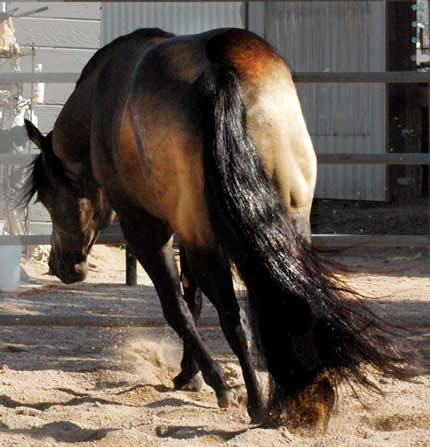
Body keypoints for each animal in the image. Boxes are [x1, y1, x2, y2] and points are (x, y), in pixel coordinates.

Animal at [20, 27, 414, 430]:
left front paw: (214, 382)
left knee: (233, 317)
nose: (60, 266)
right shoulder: (190, 232)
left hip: (206, 243)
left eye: (48, 197)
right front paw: (189, 375)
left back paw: (257, 403)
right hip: (287, 227)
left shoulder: (149, 232)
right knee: (292, 298)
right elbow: (193, 302)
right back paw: (300, 396)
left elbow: (177, 307)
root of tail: (216, 71)